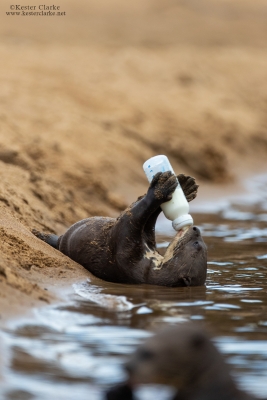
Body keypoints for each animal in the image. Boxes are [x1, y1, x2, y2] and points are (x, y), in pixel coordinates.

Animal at [32, 172, 208, 288]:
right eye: (202, 243)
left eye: (197, 244)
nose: (196, 229)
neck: (148, 266)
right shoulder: (146, 241)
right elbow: (147, 221)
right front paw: (184, 186)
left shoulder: (126, 254)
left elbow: (134, 216)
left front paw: (159, 190)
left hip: (65, 241)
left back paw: (39, 234)